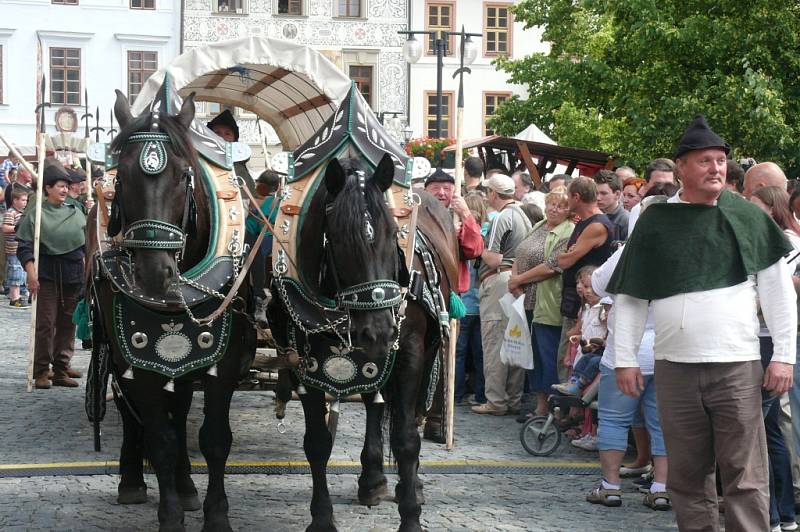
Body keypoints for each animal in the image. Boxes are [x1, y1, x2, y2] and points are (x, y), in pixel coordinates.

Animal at [86, 89, 253, 528]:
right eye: (121, 178)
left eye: (182, 176)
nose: (152, 274)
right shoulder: (138, 354)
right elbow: (160, 439)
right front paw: (170, 515)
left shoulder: (225, 358)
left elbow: (214, 438)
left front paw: (216, 514)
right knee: (133, 413)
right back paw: (132, 481)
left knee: (179, 411)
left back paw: (187, 485)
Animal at [268, 155, 456, 532]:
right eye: (339, 239)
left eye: (393, 234)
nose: (379, 331)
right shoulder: (304, 362)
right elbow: (318, 442)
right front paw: (322, 518)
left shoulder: (409, 351)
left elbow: (406, 439)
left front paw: (410, 517)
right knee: (374, 402)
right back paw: (372, 479)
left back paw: (408, 484)